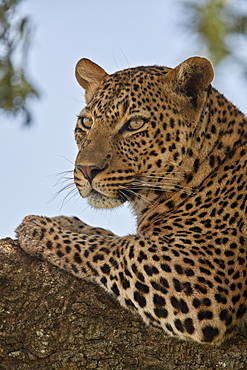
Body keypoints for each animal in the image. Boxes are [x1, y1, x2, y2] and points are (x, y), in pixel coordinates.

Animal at [15, 56, 247, 346]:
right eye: (86, 122)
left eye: (135, 124)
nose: (86, 170)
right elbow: (111, 235)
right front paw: (64, 222)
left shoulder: (202, 278)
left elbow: (117, 247)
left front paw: (39, 230)